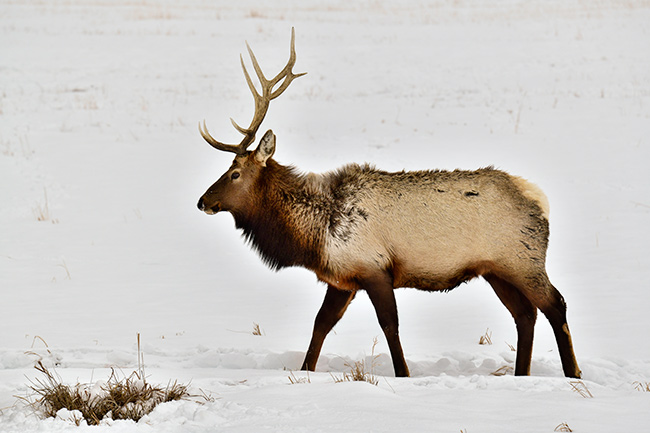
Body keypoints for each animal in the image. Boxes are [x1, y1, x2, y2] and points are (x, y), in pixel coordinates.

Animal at [195, 27, 580, 378]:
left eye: (234, 173)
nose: (202, 201)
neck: (316, 234)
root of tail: (539, 198)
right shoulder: (343, 278)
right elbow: (321, 323)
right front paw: (305, 370)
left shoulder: (374, 268)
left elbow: (389, 324)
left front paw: (404, 374)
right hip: (496, 270)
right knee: (525, 314)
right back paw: (522, 374)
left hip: (524, 261)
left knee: (555, 304)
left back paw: (573, 373)